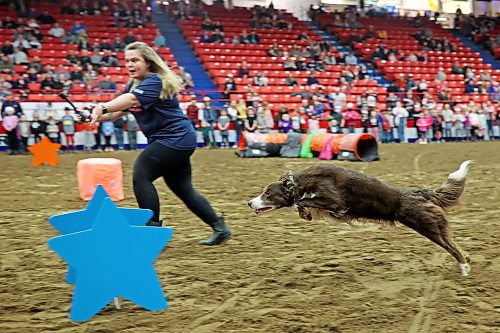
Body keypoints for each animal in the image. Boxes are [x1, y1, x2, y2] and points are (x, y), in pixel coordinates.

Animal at [248, 160, 474, 274]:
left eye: (267, 193)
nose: (249, 202)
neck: (298, 184)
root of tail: (418, 193)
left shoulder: (334, 200)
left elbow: (304, 201)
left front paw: (302, 209)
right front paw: (304, 214)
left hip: (427, 226)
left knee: (451, 246)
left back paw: (464, 267)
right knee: (452, 242)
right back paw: (467, 258)